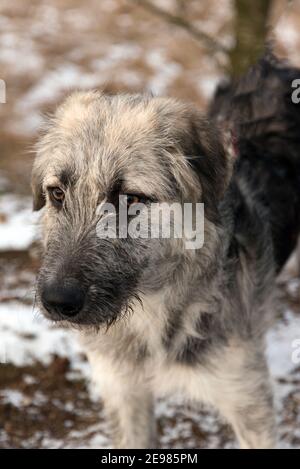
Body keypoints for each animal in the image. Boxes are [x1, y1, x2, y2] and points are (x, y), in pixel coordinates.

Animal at [31, 53, 300, 448]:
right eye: (57, 193)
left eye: (131, 199)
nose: (57, 301)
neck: (152, 311)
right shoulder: (124, 393)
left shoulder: (250, 405)